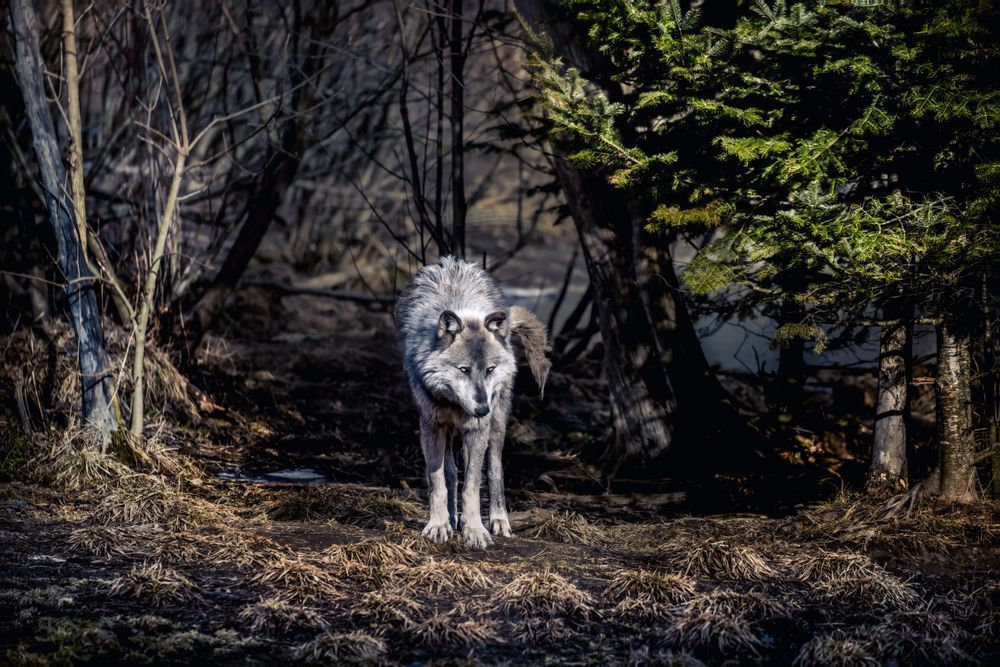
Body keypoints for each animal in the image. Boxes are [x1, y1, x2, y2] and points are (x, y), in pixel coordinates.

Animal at [395, 256, 551, 548]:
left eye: (489, 369)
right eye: (464, 370)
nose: (481, 409)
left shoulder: (478, 430)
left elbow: (472, 487)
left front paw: (475, 531)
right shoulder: (431, 427)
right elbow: (438, 482)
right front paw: (439, 525)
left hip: (497, 423)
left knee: (493, 471)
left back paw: (498, 520)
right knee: (452, 471)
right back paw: (452, 519)